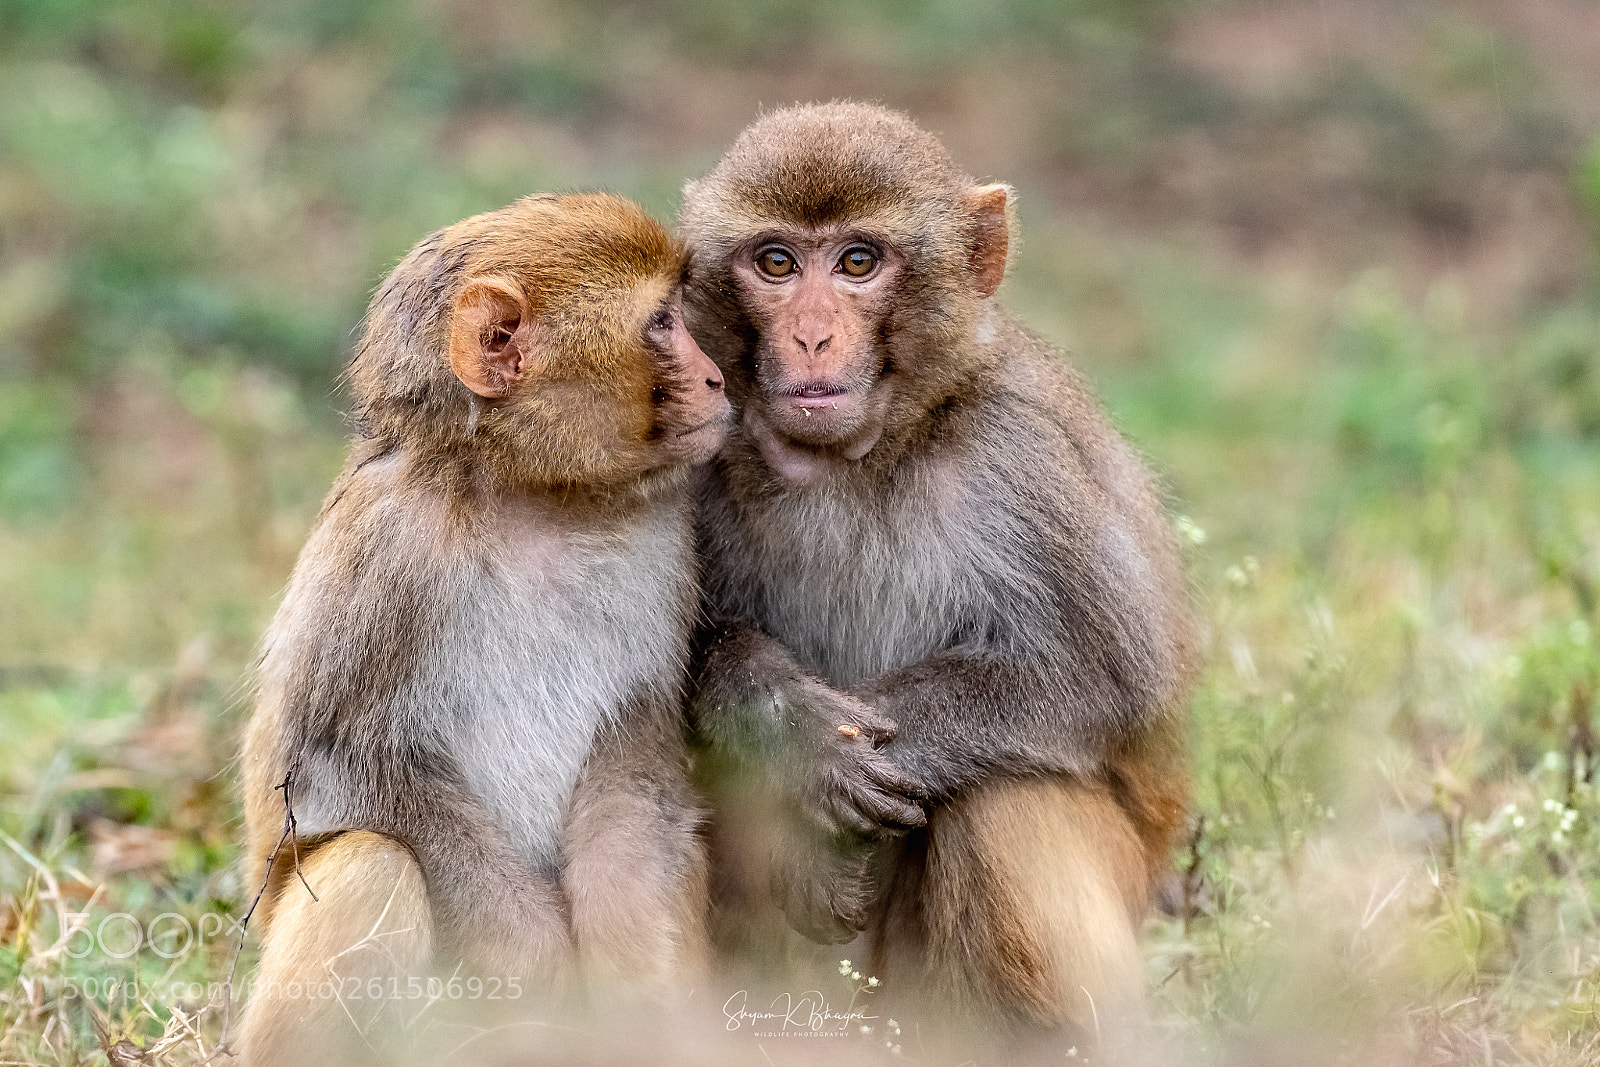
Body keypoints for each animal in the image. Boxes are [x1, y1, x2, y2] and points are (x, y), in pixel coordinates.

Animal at [235, 193, 729, 1066]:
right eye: (662, 322)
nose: (716, 376)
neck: (529, 497)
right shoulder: (387, 551)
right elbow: (337, 767)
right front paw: (538, 964)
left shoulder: (664, 538)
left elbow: (636, 779)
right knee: (372, 867)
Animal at [679, 103, 1195, 1044]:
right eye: (776, 262)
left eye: (858, 262)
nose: (812, 335)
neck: (855, 457)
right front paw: (787, 732)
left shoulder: (1018, 454)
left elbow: (1101, 677)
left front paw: (838, 770)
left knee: (1002, 800)